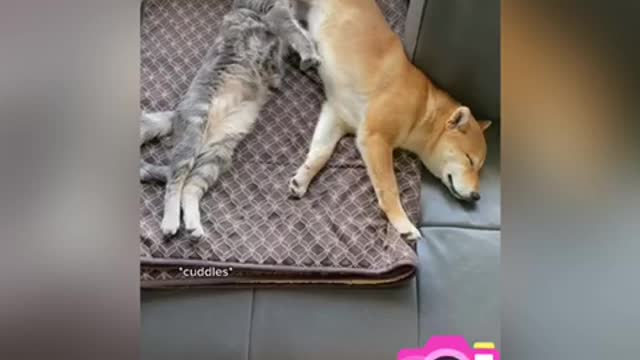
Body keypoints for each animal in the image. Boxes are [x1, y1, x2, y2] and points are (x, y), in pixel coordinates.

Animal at [141, 0, 320, 238]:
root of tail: (176, 113)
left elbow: (300, 30)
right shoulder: (275, 11)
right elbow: (297, 33)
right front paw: (311, 56)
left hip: (216, 155)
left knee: (190, 187)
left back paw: (194, 226)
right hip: (193, 133)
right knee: (174, 180)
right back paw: (170, 223)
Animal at [288, 0, 492, 242]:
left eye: (479, 168)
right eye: (469, 160)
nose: (477, 196)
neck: (422, 110)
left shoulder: (336, 114)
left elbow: (320, 153)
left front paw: (302, 179)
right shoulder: (375, 138)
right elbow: (389, 189)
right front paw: (403, 223)